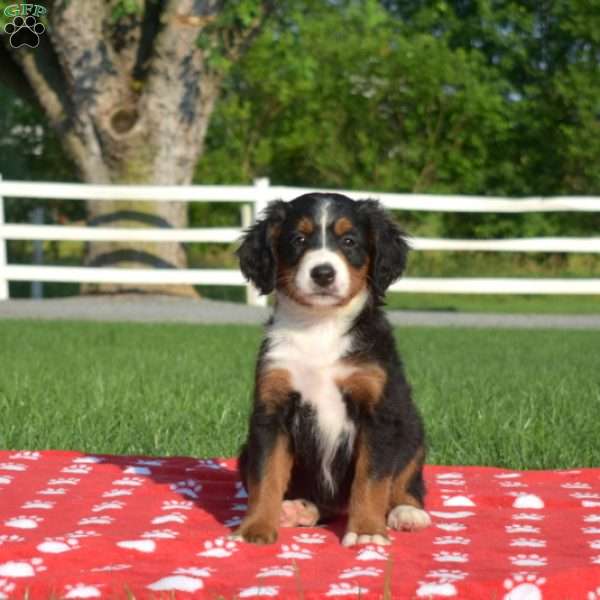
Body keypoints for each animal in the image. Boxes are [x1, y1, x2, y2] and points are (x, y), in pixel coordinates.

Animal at [234, 192, 432, 544]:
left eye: (349, 241)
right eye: (298, 240)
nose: (323, 273)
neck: (320, 326)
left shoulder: (378, 416)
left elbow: (372, 480)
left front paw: (366, 532)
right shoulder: (271, 411)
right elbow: (265, 476)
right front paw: (256, 528)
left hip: (412, 431)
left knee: (405, 482)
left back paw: (407, 512)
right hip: (245, 451)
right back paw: (298, 510)